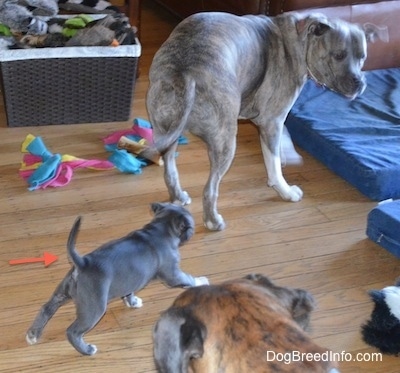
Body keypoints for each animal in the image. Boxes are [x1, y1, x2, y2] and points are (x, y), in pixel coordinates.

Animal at [25, 201, 209, 354]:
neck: (161, 228)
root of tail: (83, 263)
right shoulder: (173, 275)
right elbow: (189, 278)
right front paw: (202, 281)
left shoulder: (131, 279)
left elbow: (129, 292)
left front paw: (132, 302)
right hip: (94, 309)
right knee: (72, 331)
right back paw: (87, 350)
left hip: (62, 293)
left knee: (46, 308)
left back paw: (33, 334)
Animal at [147, 10, 384, 230]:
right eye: (339, 55)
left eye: (363, 57)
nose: (359, 83)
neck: (300, 39)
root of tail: (185, 70)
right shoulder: (273, 120)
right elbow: (274, 163)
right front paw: (286, 191)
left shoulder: (272, 121)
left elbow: (281, 143)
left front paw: (288, 154)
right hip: (225, 142)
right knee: (210, 189)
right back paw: (213, 221)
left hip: (167, 132)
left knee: (170, 170)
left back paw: (178, 197)